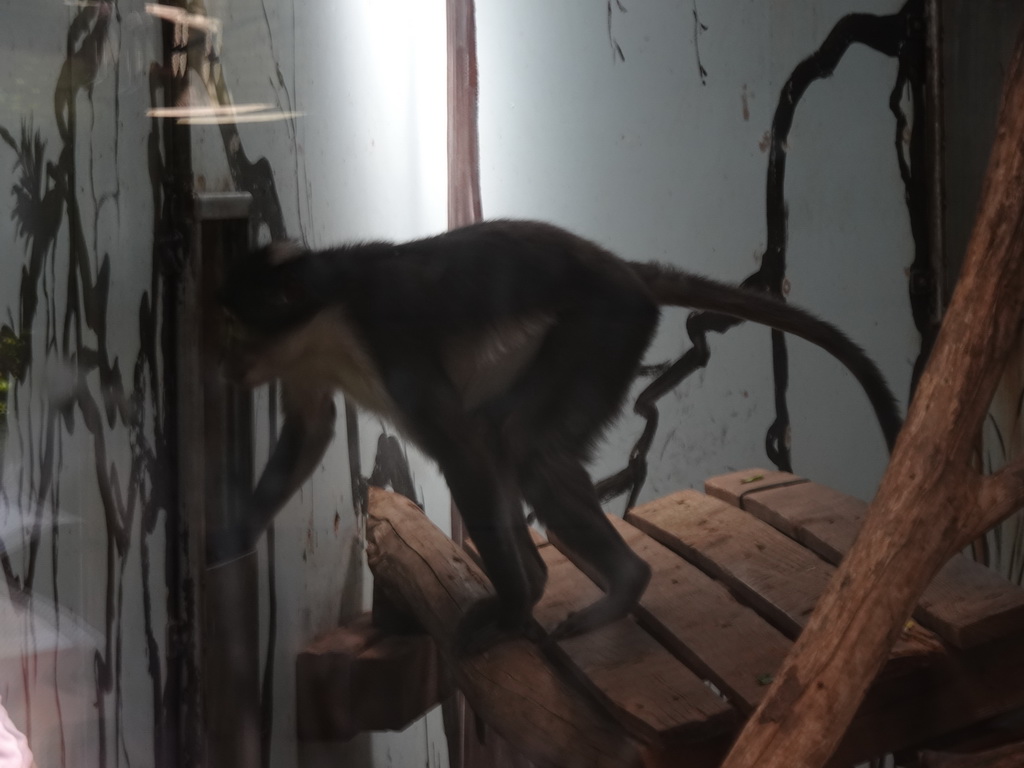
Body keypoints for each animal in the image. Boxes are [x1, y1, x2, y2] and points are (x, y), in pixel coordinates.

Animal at [216, 219, 905, 651]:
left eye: (233, 331)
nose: (227, 367)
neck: (326, 312)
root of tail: (627, 270)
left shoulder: (385, 333)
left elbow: (461, 445)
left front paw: (515, 608)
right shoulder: (304, 361)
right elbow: (313, 430)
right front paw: (230, 543)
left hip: (607, 325)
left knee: (515, 443)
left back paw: (610, 583)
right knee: (515, 447)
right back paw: (570, 581)